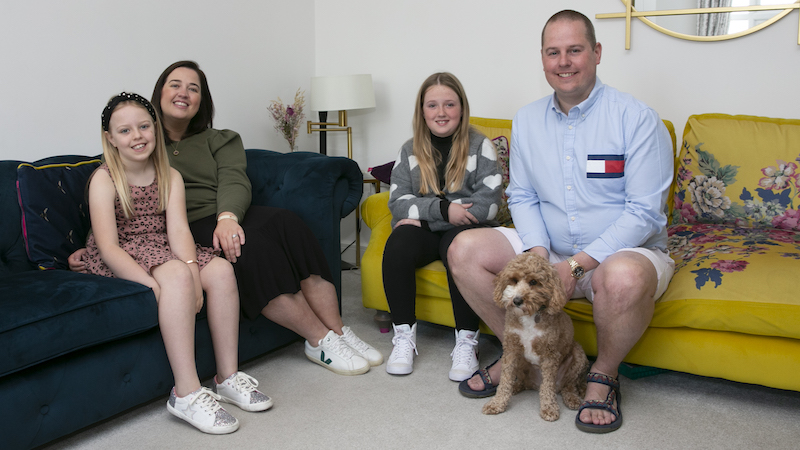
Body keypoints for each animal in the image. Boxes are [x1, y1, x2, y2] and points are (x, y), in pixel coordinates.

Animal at [482, 253, 588, 422]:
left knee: (568, 385)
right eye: (514, 280)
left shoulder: (549, 354)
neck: (529, 315)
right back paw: (516, 387)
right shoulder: (511, 349)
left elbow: (547, 387)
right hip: (521, 362)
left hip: (577, 355)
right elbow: (505, 379)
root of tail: (534, 384)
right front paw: (497, 403)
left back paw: (572, 399)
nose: (516, 300)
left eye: (533, 282)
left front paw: (549, 408)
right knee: (522, 381)